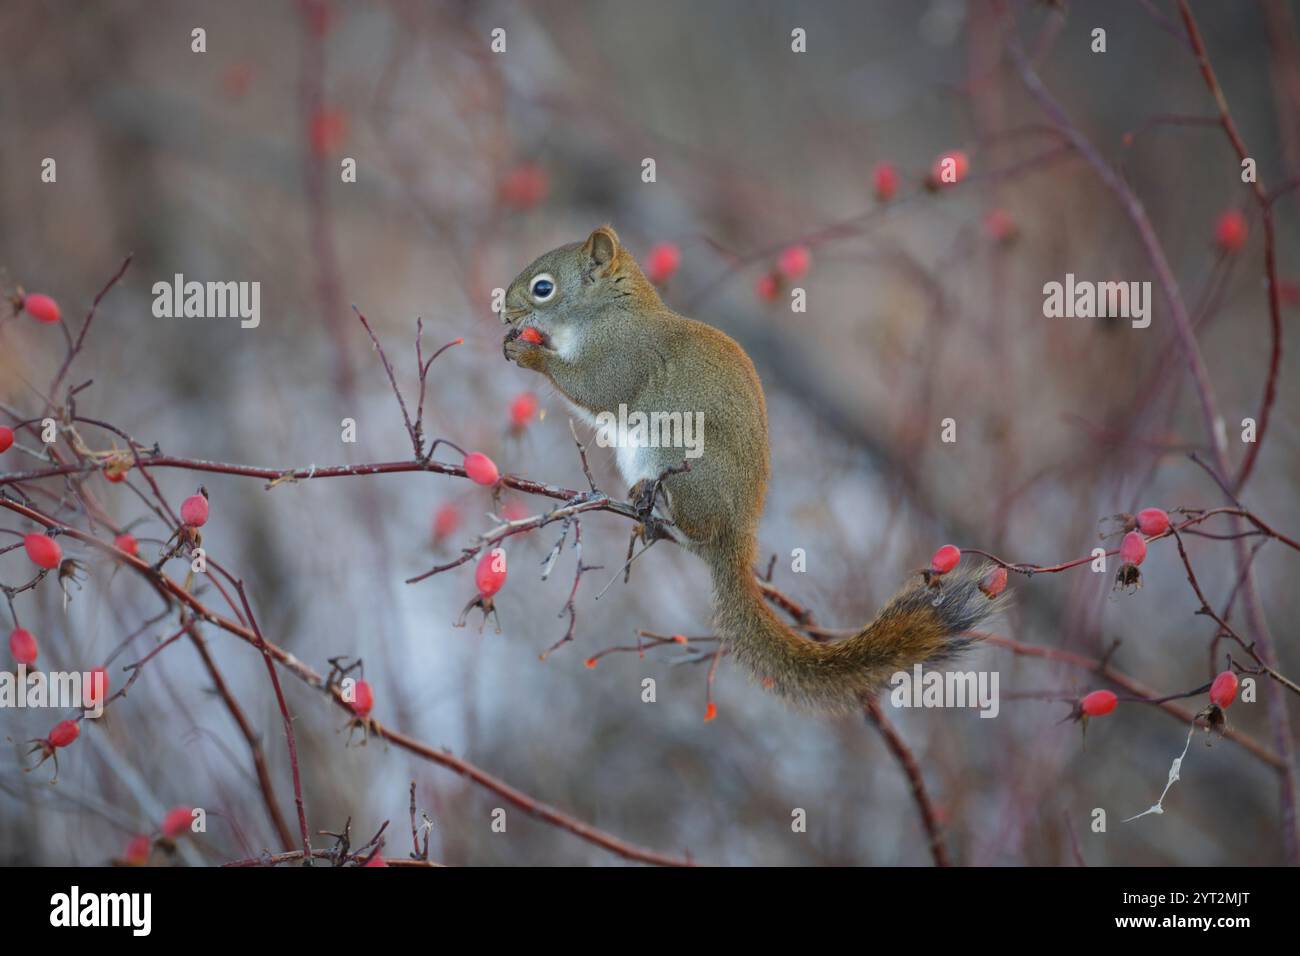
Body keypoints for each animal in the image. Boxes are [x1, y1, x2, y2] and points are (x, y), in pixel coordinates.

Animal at [501, 225, 1005, 711]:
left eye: (543, 288)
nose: (505, 313)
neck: (607, 311)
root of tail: (737, 539)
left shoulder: (624, 356)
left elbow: (596, 387)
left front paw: (530, 354)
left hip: (684, 460)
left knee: (697, 523)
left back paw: (658, 503)